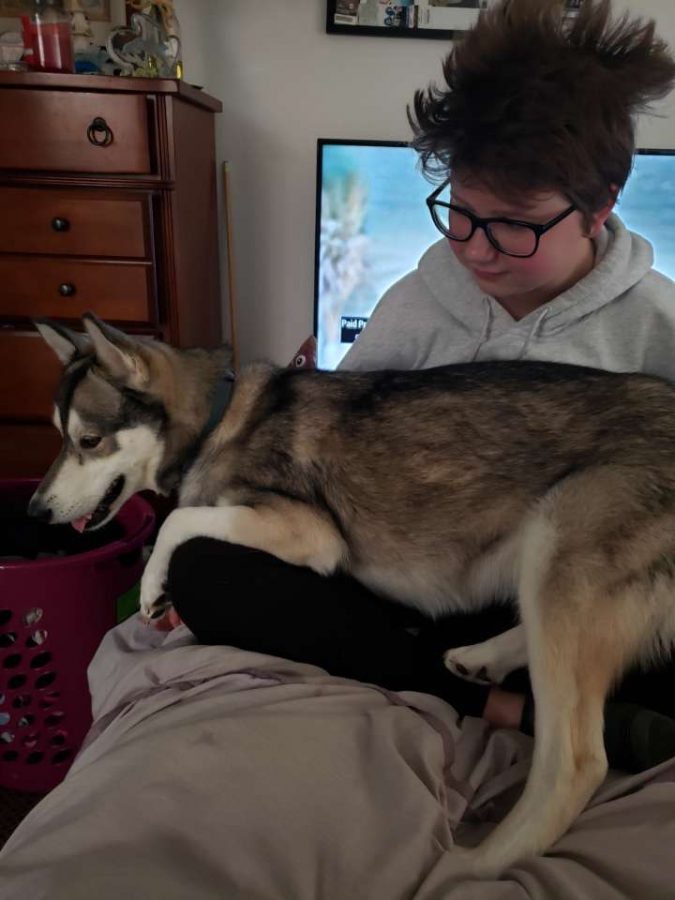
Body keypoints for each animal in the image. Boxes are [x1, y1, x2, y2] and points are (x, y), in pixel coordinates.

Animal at [29, 314, 675, 880]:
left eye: (89, 440)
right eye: (59, 438)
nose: (35, 512)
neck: (216, 420)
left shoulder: (311, 532)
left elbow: (178, 521)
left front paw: (153, 585)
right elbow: (183, 517)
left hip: (559, 543)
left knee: (576, 762)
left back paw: (480, 862)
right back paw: (482, 658)